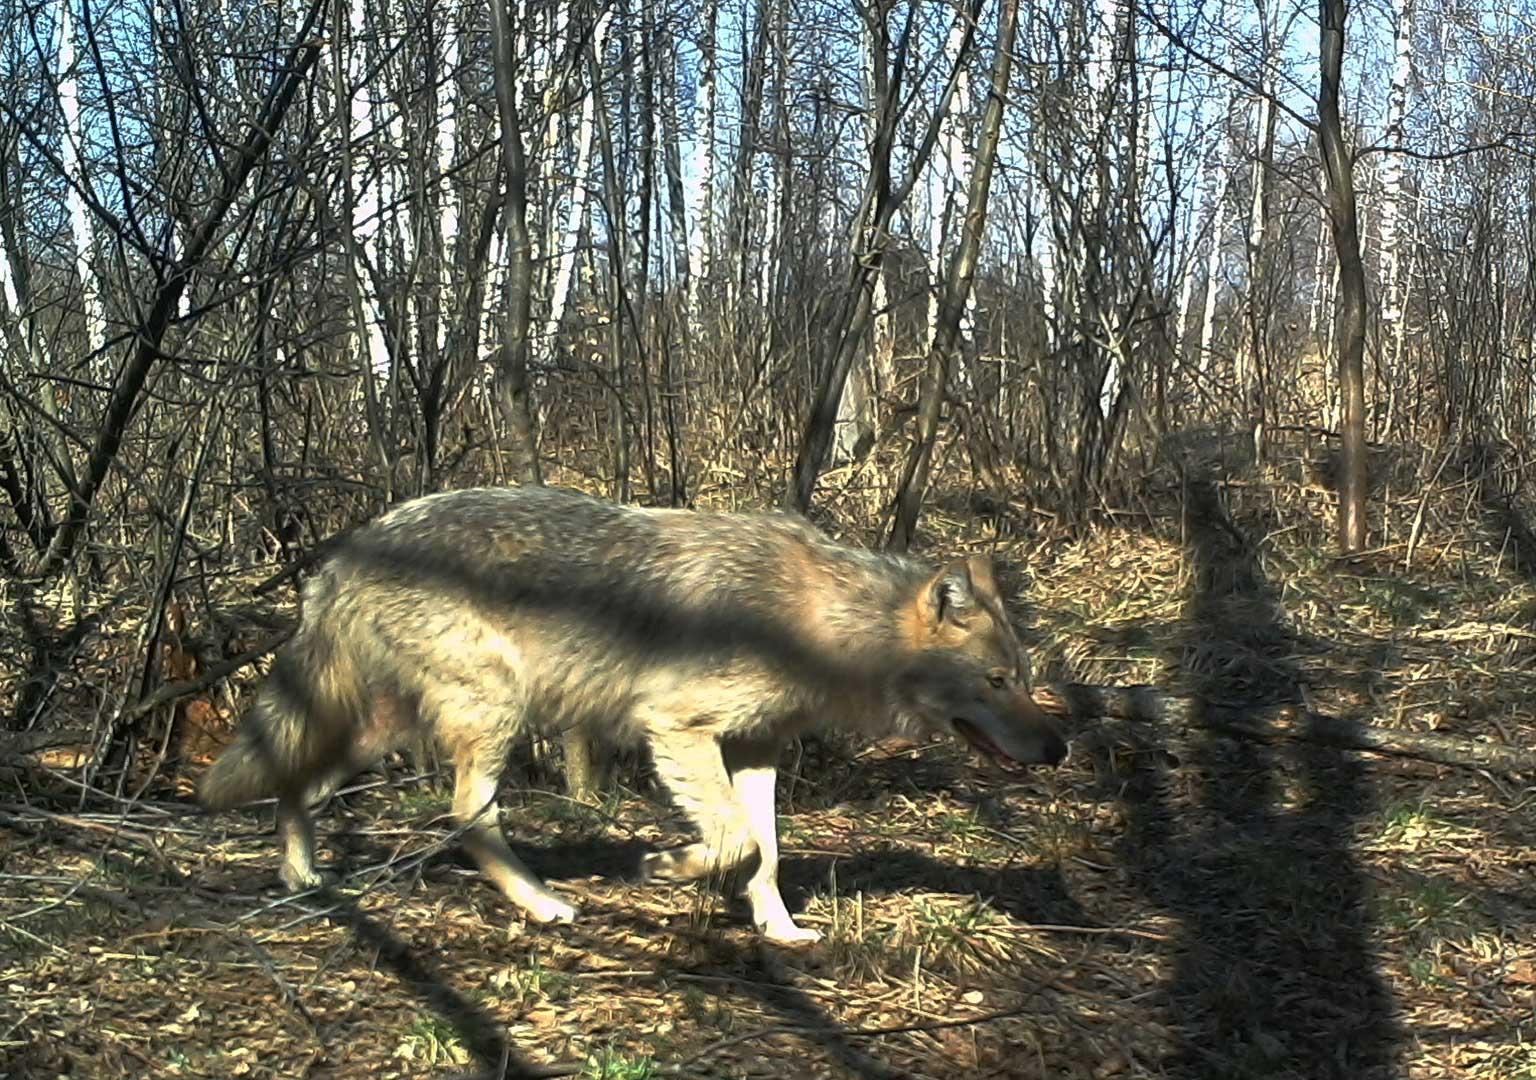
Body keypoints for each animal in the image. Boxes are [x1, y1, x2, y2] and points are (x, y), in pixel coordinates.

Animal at [198, 485, 1069, 940]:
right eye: (995, 680)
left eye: (1023, 678)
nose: (1061, 750)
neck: (820, 626)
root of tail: (347, 549)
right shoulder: (677, 728)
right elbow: (733, 842)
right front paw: (668, 867)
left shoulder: (756, 749)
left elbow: (767, 852)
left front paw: (780, 931)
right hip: (496, 713)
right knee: (465, 816)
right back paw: (545, 903)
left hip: (379, 729)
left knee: (299, 789)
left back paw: (305, 881)